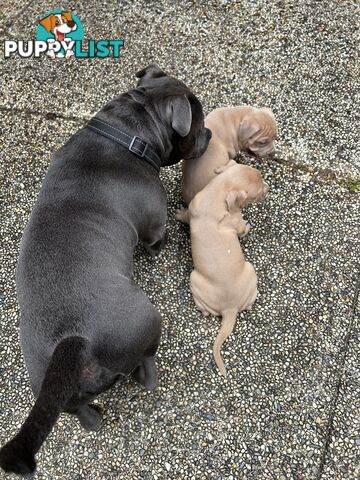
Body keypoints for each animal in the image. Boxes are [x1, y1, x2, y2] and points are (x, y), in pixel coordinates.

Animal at [0, 64, 211, 476]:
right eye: (199, 123)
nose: (210, 134)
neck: (126, 131)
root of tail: (75, 342)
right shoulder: (153, 226)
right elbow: (156, 240)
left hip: (52, 391)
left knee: (81, 413)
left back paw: (94, 417)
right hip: (145, 320)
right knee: (145, 365)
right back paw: (149, 375)